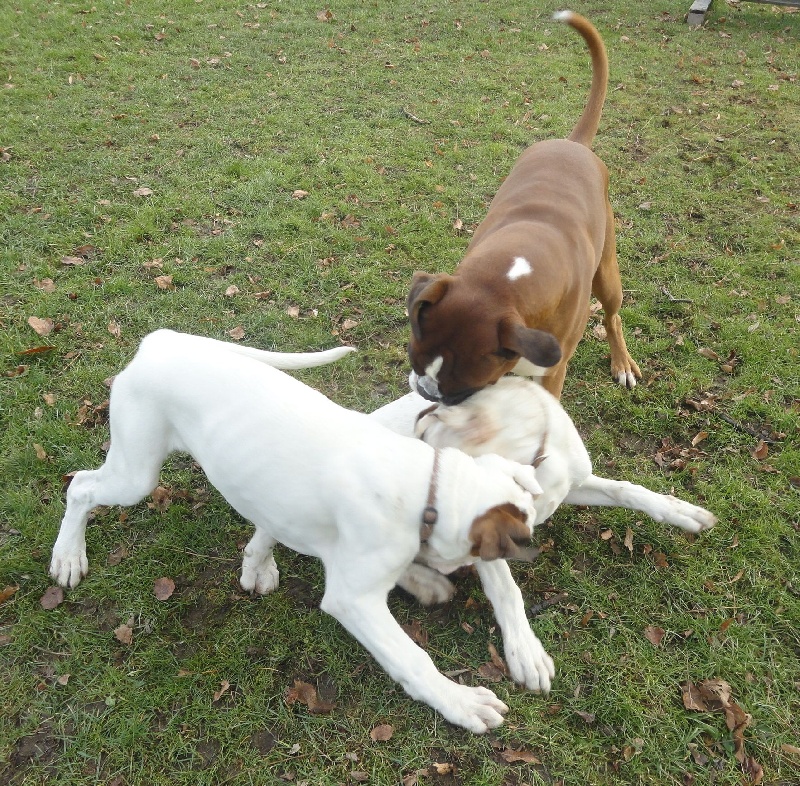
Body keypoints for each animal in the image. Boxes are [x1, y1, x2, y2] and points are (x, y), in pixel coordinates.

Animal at [50, 328, 552, 732]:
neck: (428, 488)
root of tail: (161, 342)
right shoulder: (353, 600)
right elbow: (413, 658)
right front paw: (461, 702)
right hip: (136, 474)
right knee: (80, 486)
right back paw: (68, 556)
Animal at [410, 10, 640, 404]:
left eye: (462, 392)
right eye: (412, 359)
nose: (426, 393)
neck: (506, 276)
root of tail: (573, 143)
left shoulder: (551, 373)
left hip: (608, 276)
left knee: (613, 317)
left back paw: (621, 361)